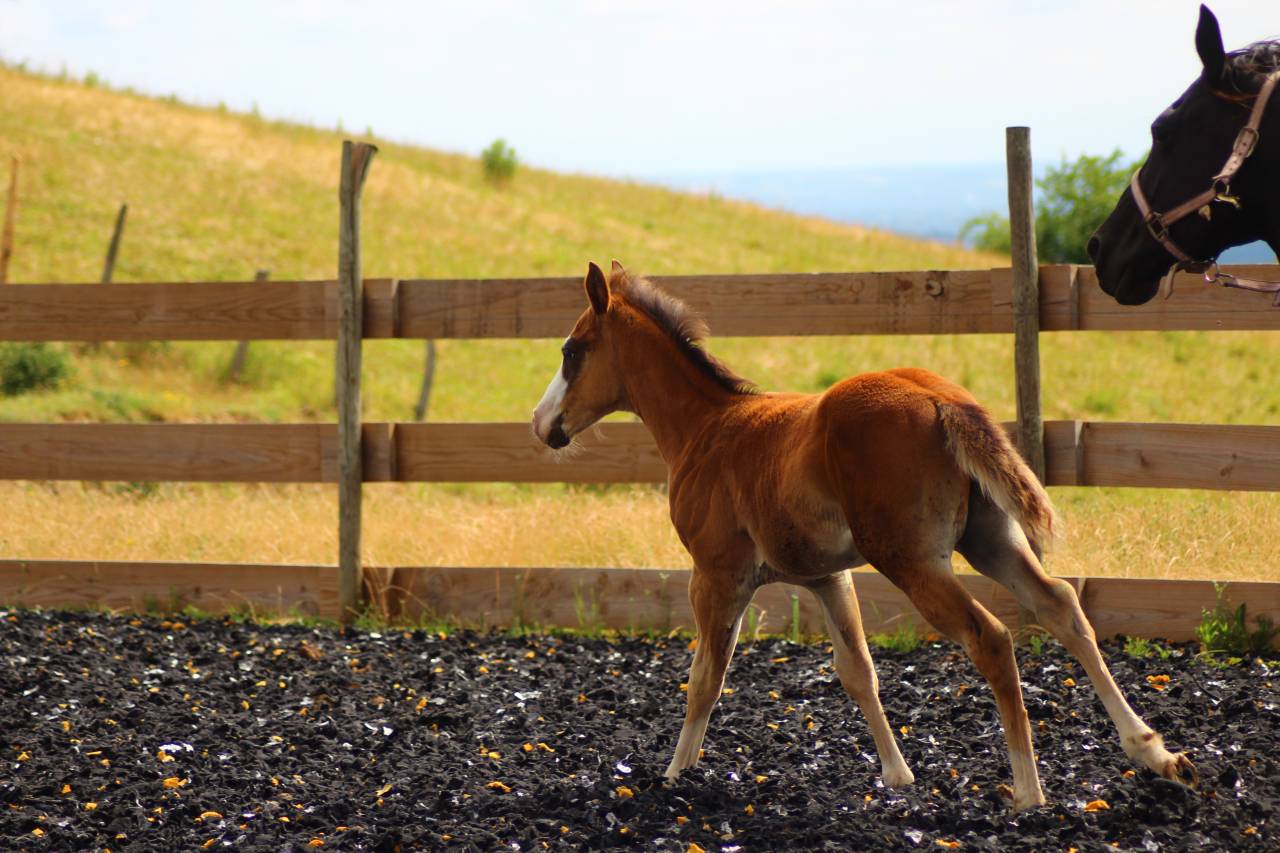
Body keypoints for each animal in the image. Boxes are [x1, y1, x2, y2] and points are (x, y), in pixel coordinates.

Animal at [531, 260, 1198, 810]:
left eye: (571, 350)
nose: (542, 424)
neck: (708, 428)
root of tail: (939, 397)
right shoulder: (829, 577)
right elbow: (857, 671)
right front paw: (898, 776)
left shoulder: (716, 575)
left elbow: (704, 680)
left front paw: (674, 774)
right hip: (988, 539)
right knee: (1061, 605)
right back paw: (1154, 752)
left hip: (912, 560)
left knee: (990, 635)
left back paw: (1029, 791)